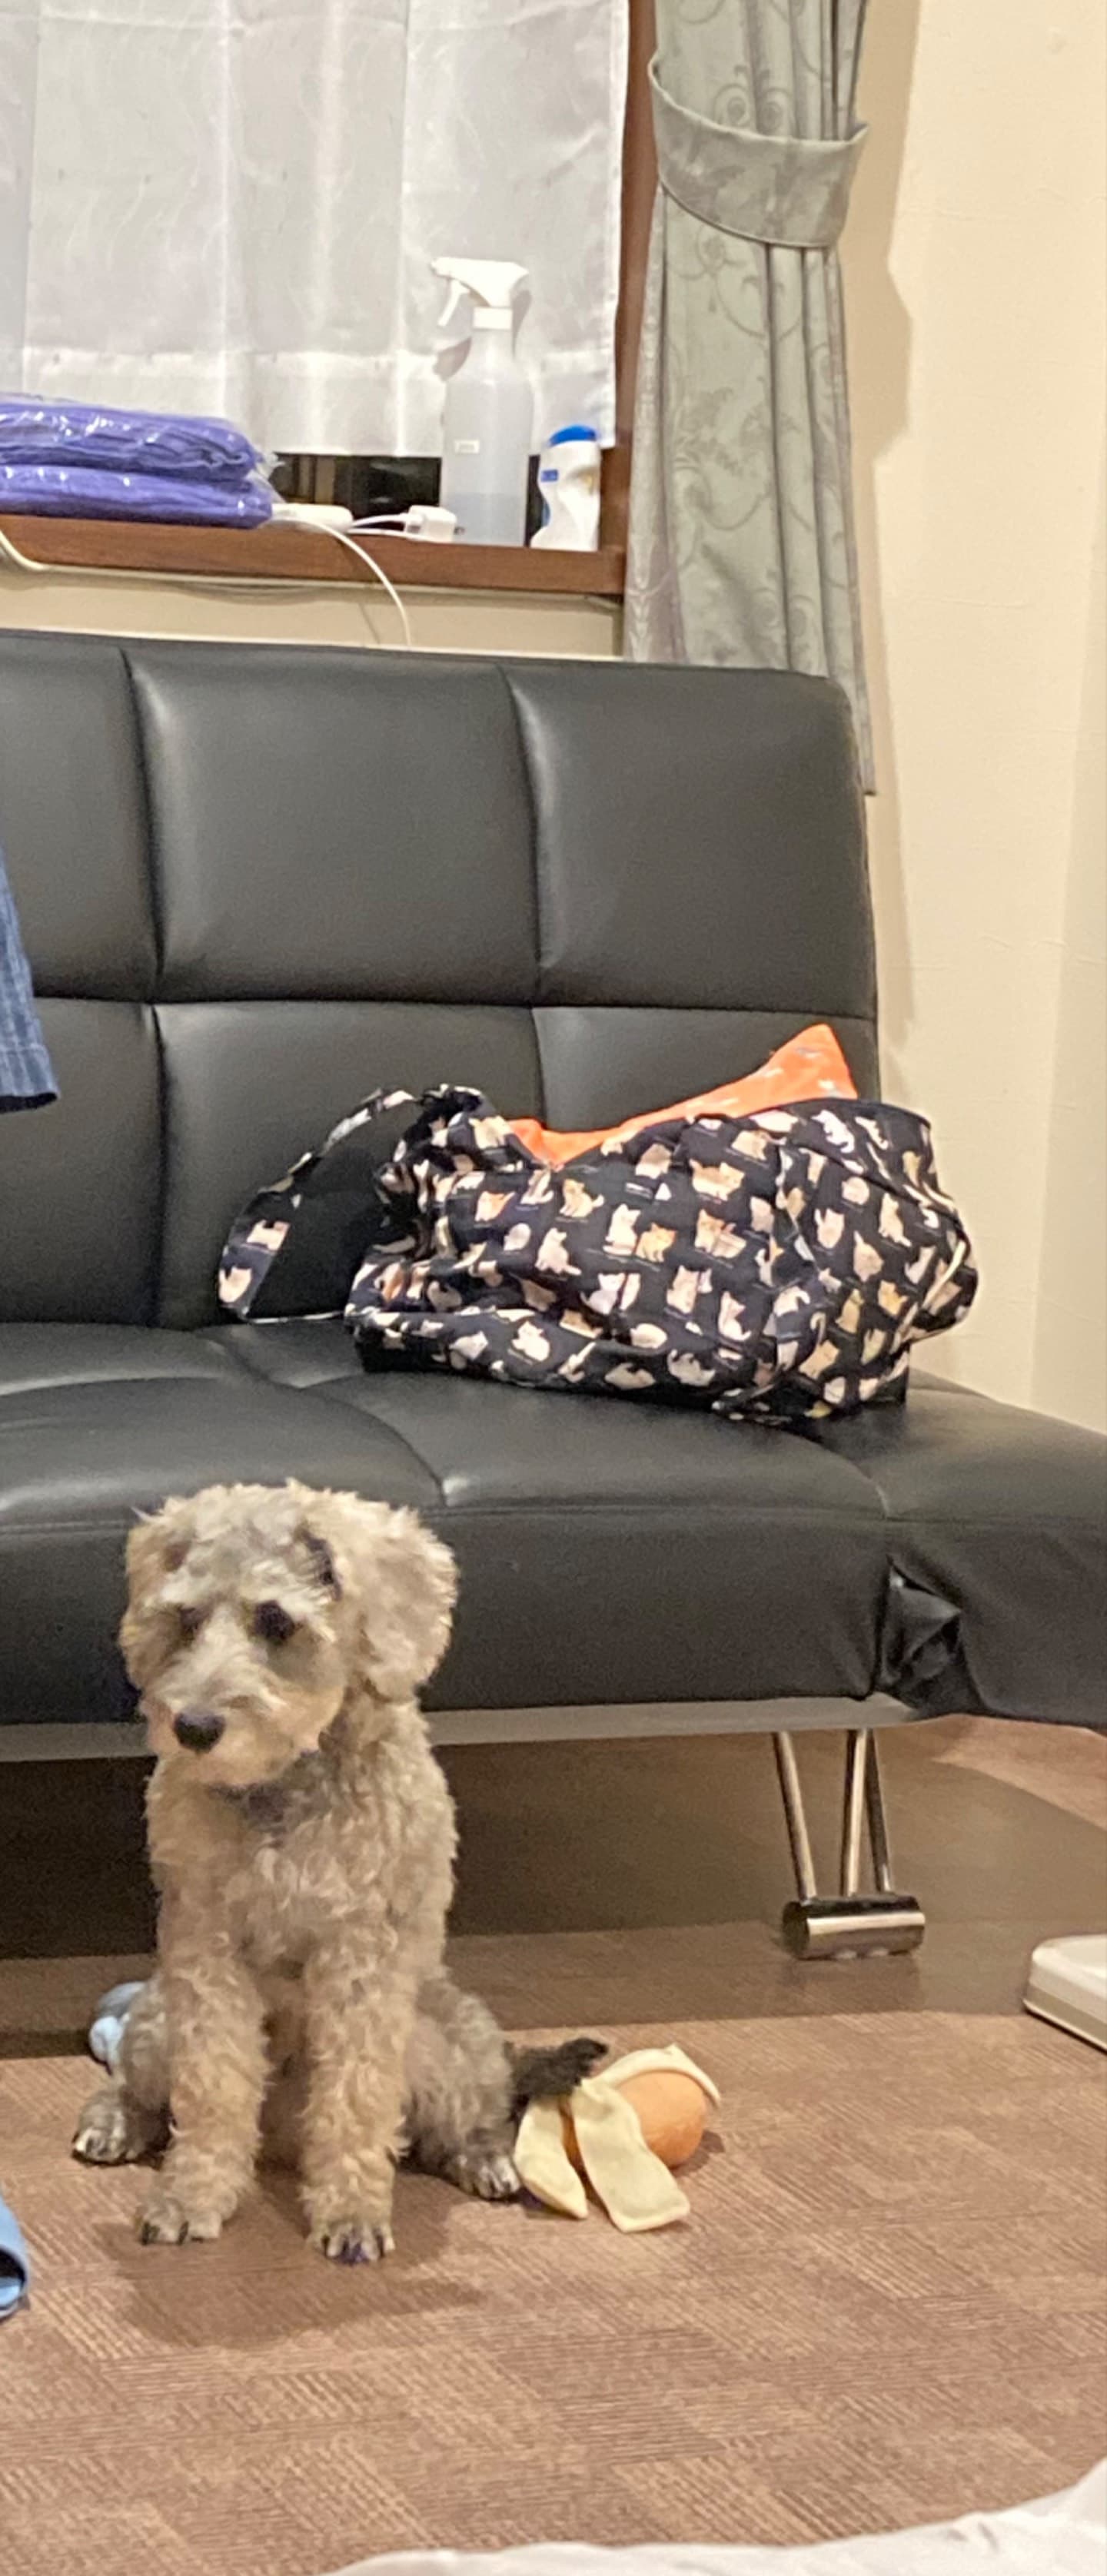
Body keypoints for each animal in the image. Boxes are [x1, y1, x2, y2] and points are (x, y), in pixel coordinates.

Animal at [72, 1480, 600, 2261]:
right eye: (187, 1618)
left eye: (276, 1620)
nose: (192, 1728)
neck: (282, 1786)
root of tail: (281, 2137)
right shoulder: (206, 1953)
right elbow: (212, 2091)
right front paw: (193, 2195)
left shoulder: (361, 1959)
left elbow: (356, 2099)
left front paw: (350, 2211)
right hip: (156, 2017)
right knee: (138, 2090)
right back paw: (114, 2122)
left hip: (446, 2044)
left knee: (464, 2120)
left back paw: (485, 2159)